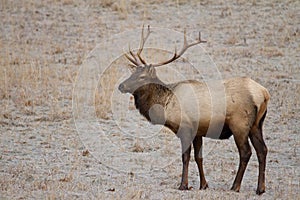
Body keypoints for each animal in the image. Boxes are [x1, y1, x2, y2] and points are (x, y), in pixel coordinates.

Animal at [118, 25, 270, 195]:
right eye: (132, 73)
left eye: (142, 77)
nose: (121, 86)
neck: (166, 104)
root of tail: (263, 93)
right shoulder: (198, 131)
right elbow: (199, 157)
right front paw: (203, 185)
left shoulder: (185, 127)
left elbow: (185, 157)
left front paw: (183, 185)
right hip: (257, 124)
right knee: (262, 150)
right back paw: (260, 188)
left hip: (240, 124)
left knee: (246, 152)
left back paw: (235, 186)